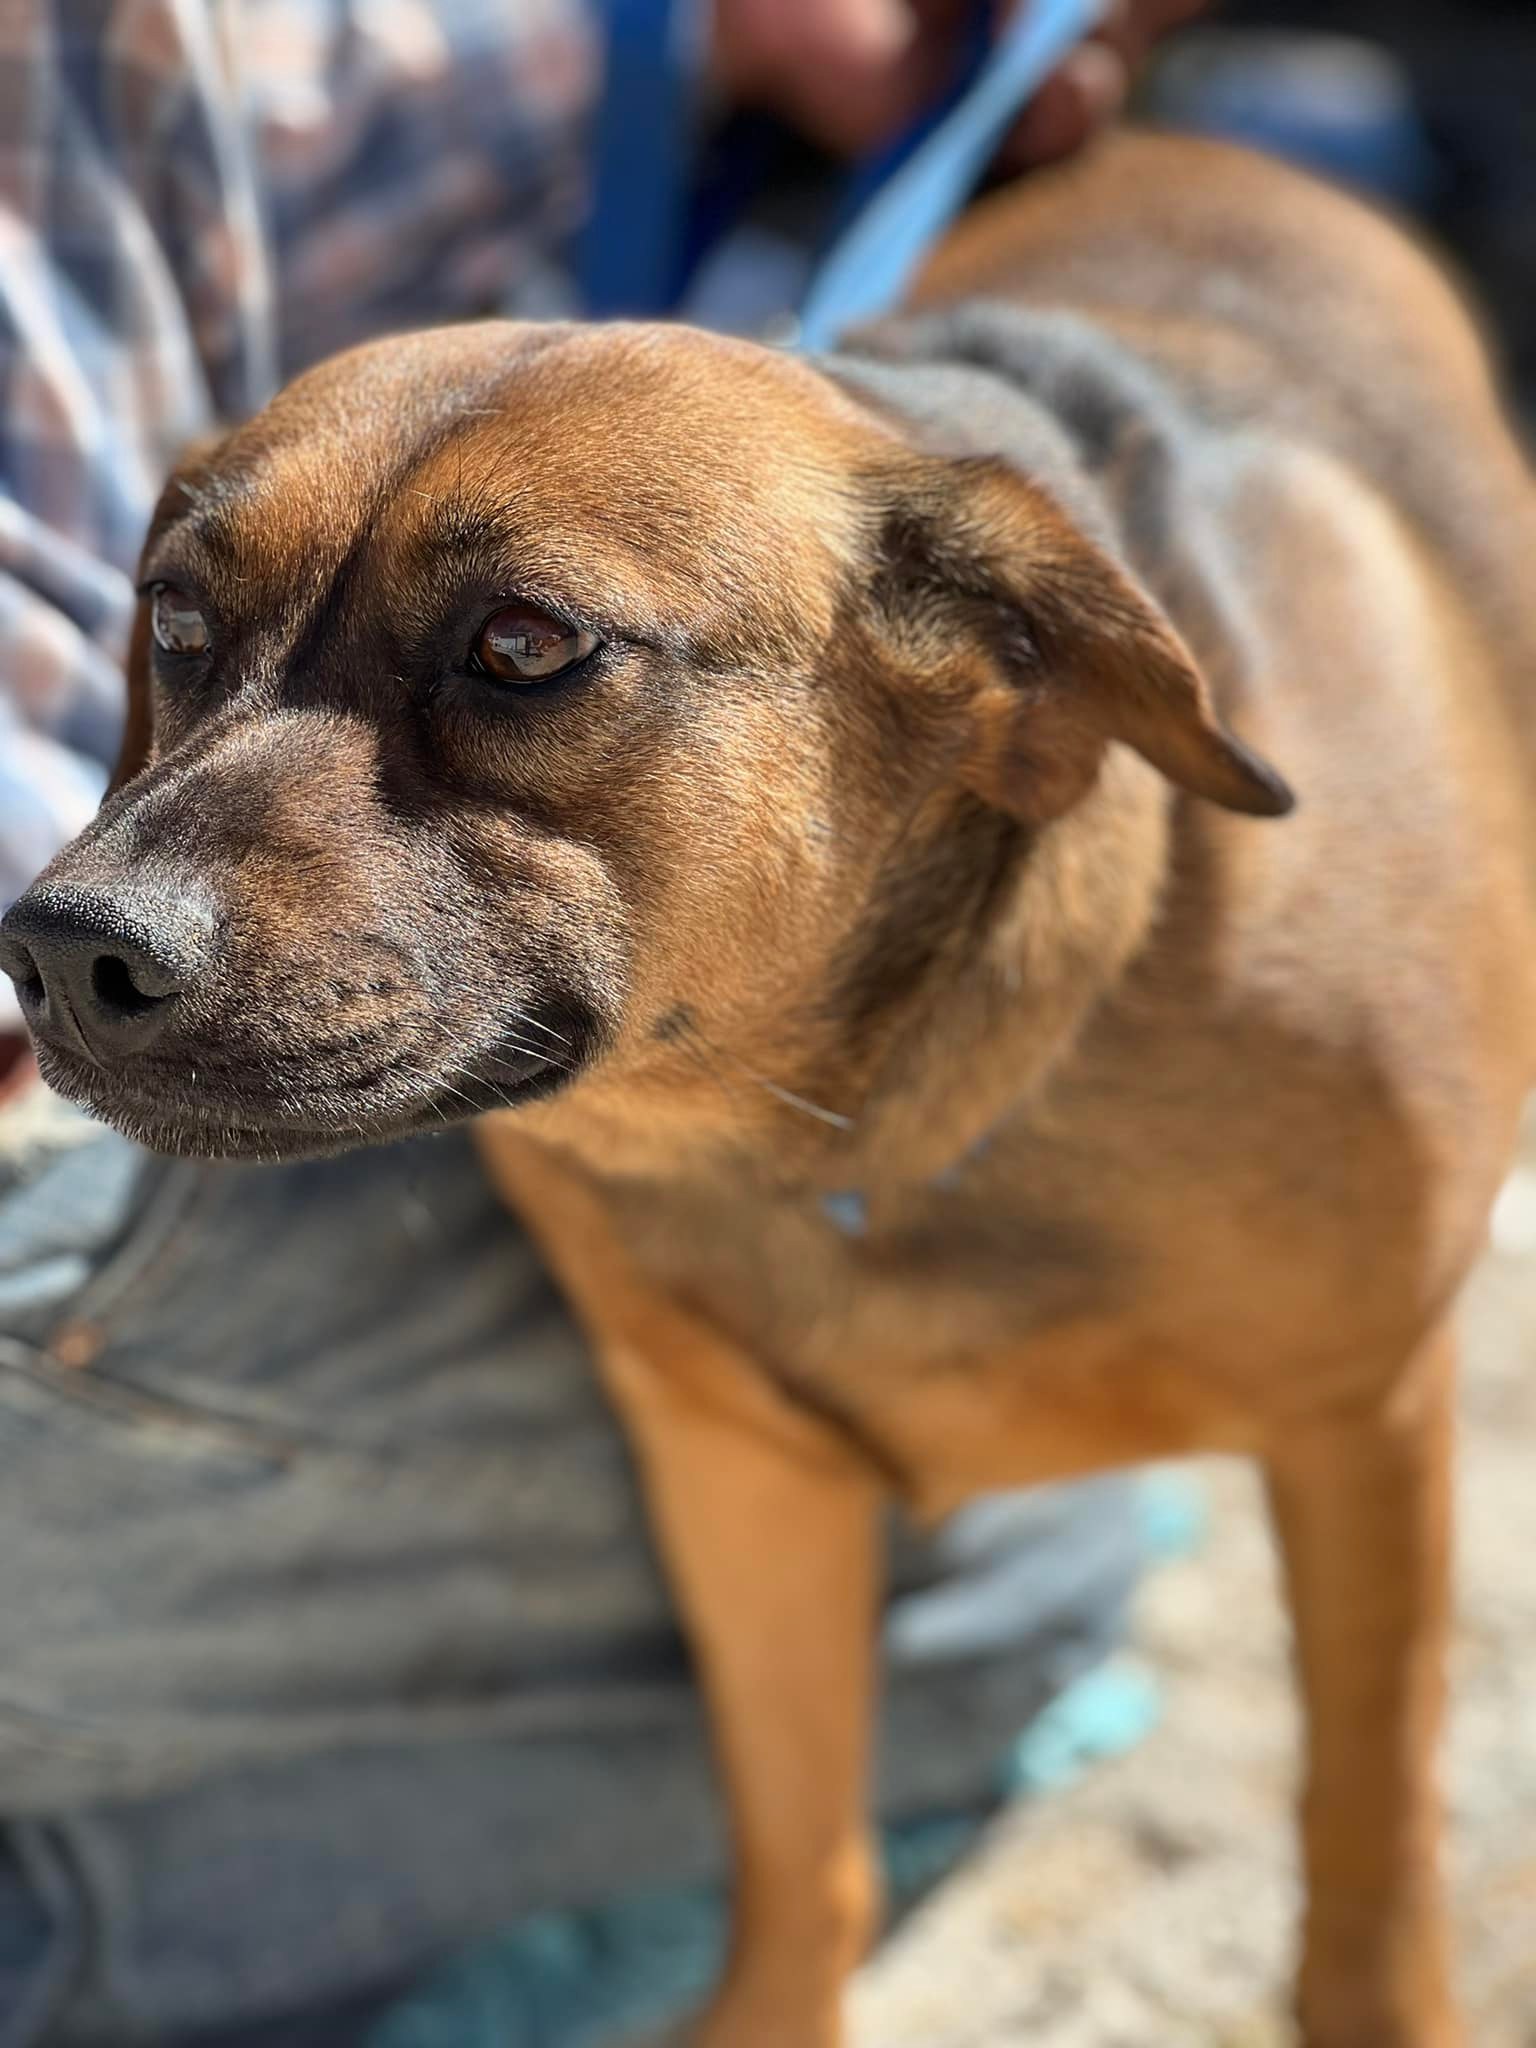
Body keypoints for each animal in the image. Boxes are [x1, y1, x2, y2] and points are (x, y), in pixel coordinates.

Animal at [3, 132, 1536, 2048]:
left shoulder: (1367, 1424)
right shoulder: (739, 1473)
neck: (853, 1124)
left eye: (524, 645)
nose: (60, 950)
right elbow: (801, 1840)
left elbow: (1368, 1840)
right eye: (180, 620)